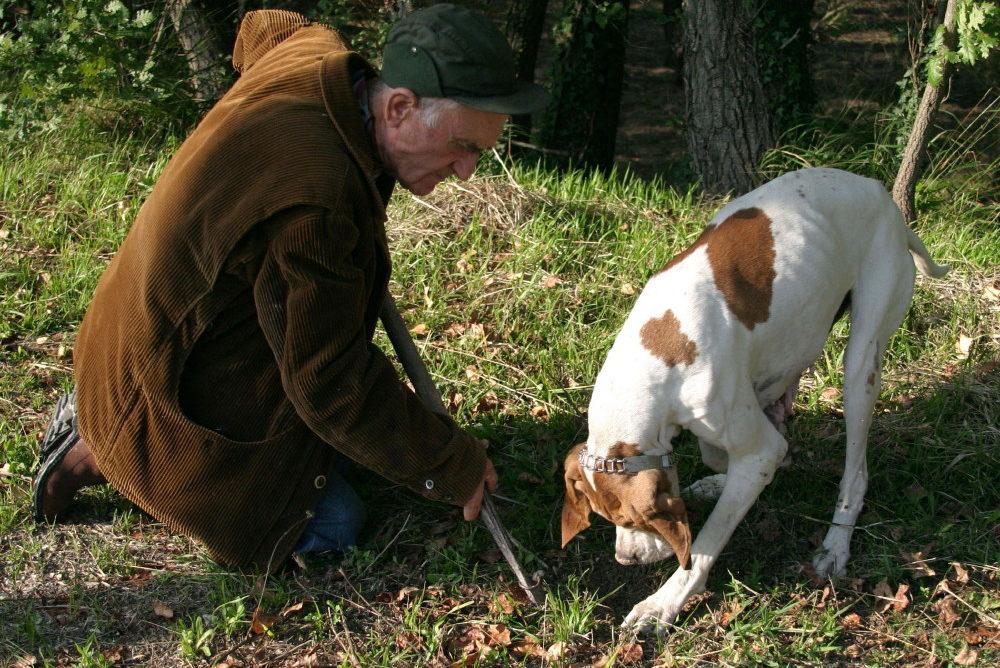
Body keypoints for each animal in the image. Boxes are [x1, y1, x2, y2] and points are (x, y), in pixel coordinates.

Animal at [568, 167, 948, 632]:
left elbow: (706, 543)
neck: (657, 350)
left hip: (861, 363)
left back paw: (836, 543)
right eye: (607, 519)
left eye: (632, 520)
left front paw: (663, 604)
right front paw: (727, 479)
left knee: (855, 471)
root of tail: (883, 198)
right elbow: (727, 454)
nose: (626, 558)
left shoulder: (751, 440)